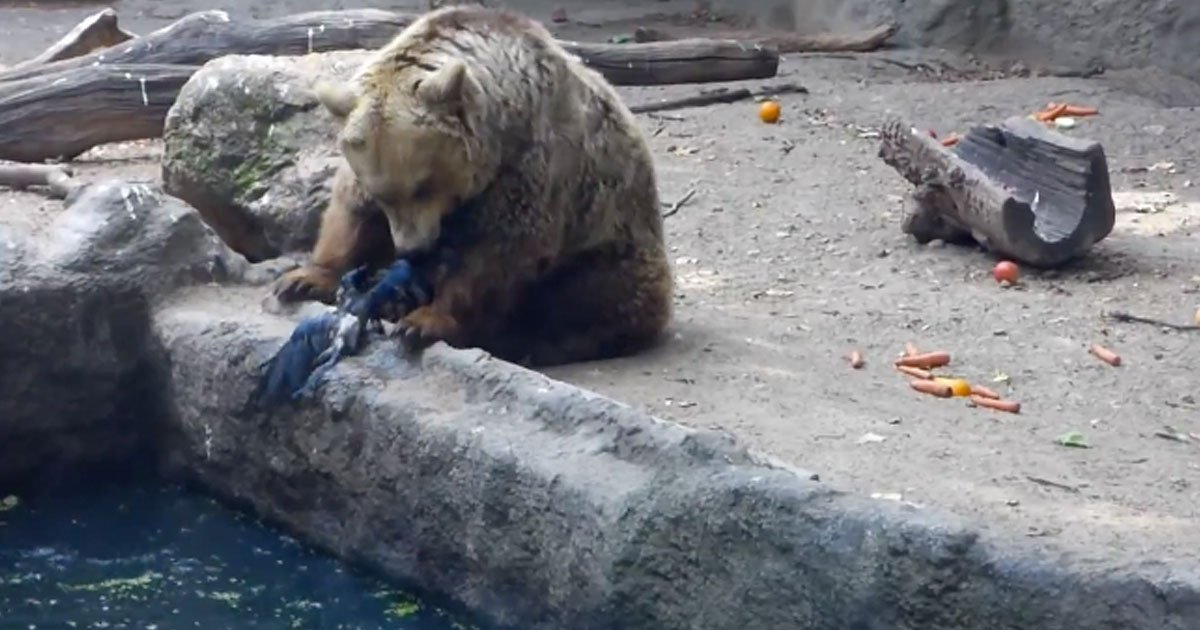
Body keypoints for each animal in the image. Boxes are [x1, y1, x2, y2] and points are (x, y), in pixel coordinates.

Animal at [271, 4, 676, 364]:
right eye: (383, 195)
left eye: (423, 186)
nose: (413, 249)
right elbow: (349, 215)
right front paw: (303, 278)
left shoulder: (526, 166)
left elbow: (497, 253)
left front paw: (423, 322)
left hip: (607, 242)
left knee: (583, 298)